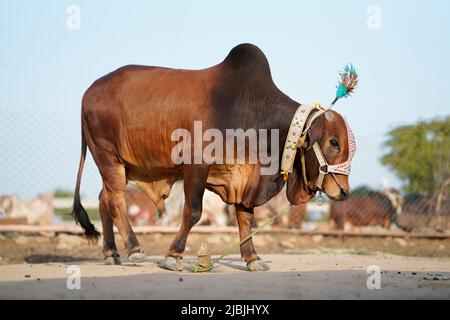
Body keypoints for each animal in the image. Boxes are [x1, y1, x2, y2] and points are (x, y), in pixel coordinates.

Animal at [71, 43, 352, 272]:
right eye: (334, 142)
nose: (344, 192)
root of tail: (89, 92)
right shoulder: (196, 165)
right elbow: (193, 211)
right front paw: (173, 255)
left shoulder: (245, 177)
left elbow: (245, 217)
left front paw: (252, 259)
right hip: (107, 155)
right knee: (117, 200)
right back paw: (134, 249)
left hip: (122, 164)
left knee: (104, 198)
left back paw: (111, 252)